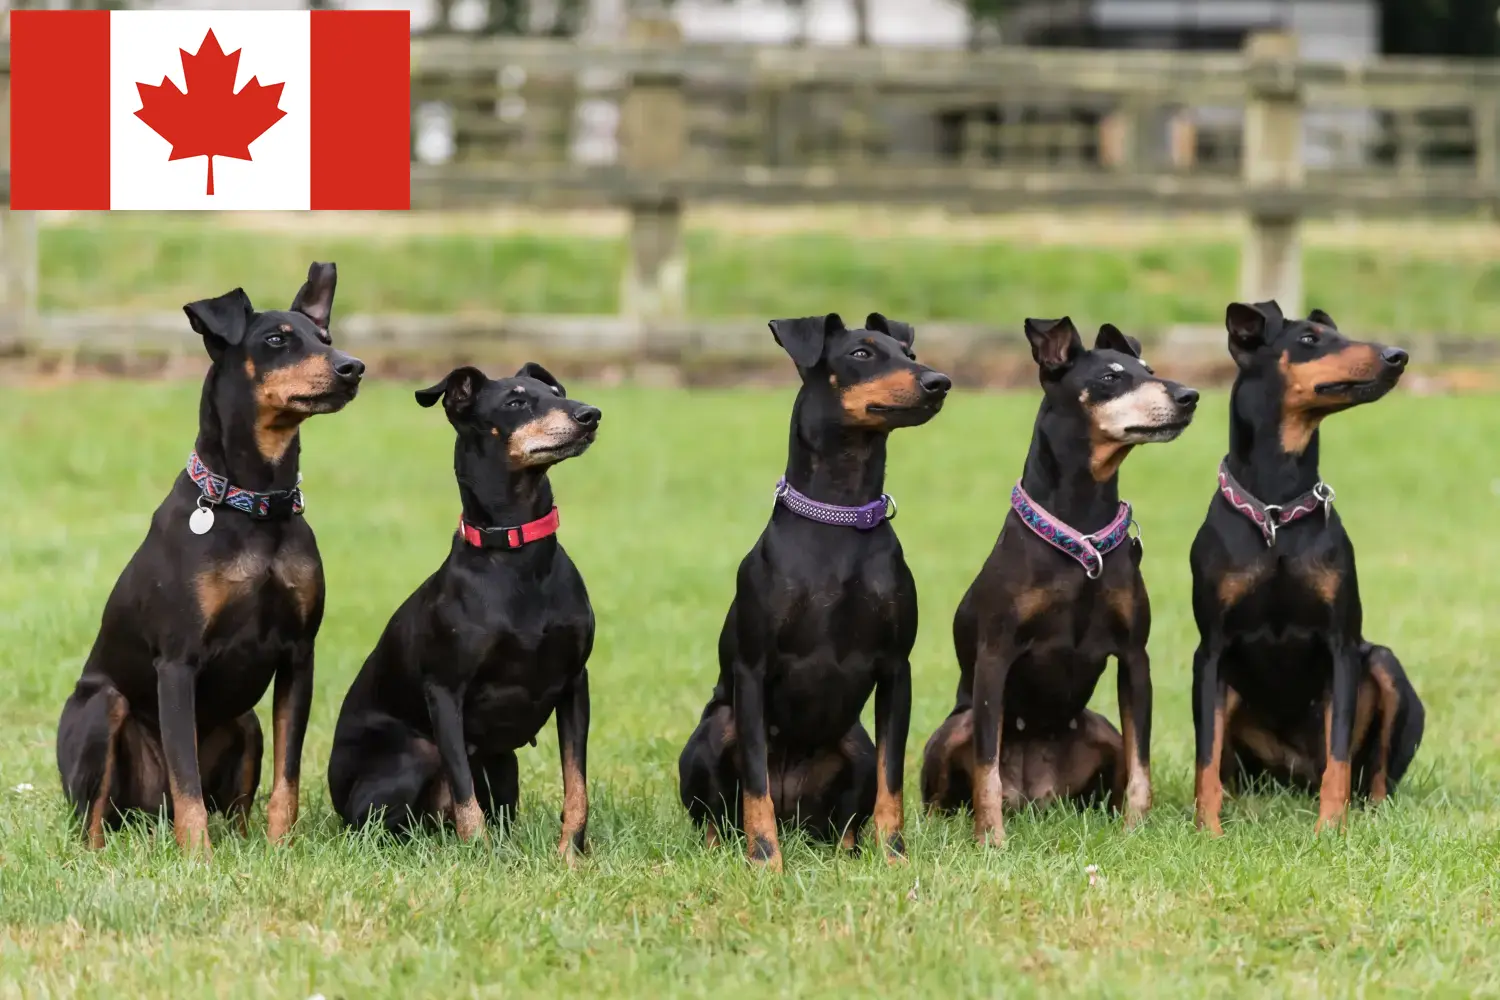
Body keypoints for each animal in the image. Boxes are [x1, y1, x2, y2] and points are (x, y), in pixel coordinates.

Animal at [59, 263, 366, 851]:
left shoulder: (299, 655)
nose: (352, 367)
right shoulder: (177, 663)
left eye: (325, 337)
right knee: (96, 815)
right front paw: (197, 859)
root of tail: (146, 815)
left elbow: (287, 779)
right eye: (276, 341)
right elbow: (188, 785)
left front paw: (280, 849)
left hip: (246, 722)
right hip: (102, 709)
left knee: (237, 806)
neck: (255, 506)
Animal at [331, 364, 600, 863]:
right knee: (378, 826)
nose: (590, 414)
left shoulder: (575, 683)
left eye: (556, 392)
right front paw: (482, 855)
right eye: (516, 402)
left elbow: (577, 785)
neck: (516, 556)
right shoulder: (444, 692)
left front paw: (570, 855)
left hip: (504, 763)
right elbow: (463, 792)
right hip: (413, 755)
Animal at [678, 310, 948, 869]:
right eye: (862, 353)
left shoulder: (896, 669)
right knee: (719, 817)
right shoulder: (752, 671)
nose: (940, 382)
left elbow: (892, 782)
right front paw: (766, 862)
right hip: (714, 731)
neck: (839, 517)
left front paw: (895, 858)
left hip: (855, 745)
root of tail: (794, 813)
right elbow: (755, 784)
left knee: (845, 821)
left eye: (909, 354)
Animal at [918, 314, 1200, 845]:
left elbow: (1142, 764)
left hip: (1100, 730)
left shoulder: (1135, 658)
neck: (1081, 533)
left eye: (1149, 369)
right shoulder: (994, 658)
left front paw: (1136, 831)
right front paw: (991, 841)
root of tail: (1033, 795)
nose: (1189, 395)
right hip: (955, 728)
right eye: (1111, 377)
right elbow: (986, 768)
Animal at [1188, 301, 1422, 833]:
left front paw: (1330, 829)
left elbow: (1339, 755)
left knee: (1374, 775)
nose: (1396, 356)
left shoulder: (1341, 647)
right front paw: (1207, 830)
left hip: (1384, 666)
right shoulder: (1210, 652)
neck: (1277, 511)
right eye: (1311, 339)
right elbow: (1205, 757)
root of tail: (1297, 774)